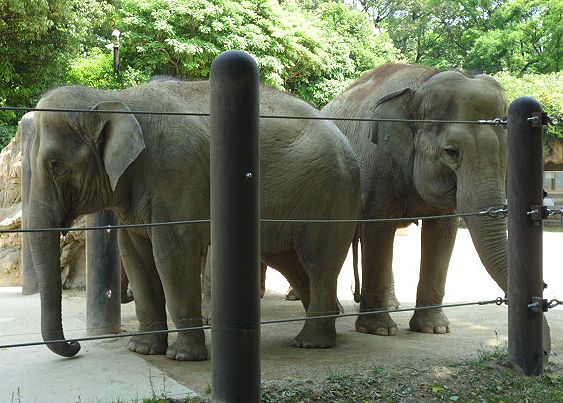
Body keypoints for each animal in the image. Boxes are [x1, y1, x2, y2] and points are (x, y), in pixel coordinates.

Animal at [27, 78, 362, 360]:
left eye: (56, 165)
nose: (75, 345)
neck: (116, 97)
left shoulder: (178, 174)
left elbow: (172, 253)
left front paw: (183, 356)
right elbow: (135, 255)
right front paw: (143, 349)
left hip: (333, 195)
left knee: (319, 262)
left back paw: (312, 342)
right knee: (289, 261)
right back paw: (327, 325)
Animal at [322, 64, 536, 338]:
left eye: (506, 154)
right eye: (450, 152)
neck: (423, 82)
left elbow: (442, 233)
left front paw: (434, 328)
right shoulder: (378, 164)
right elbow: (378, 228)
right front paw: (379, 330)